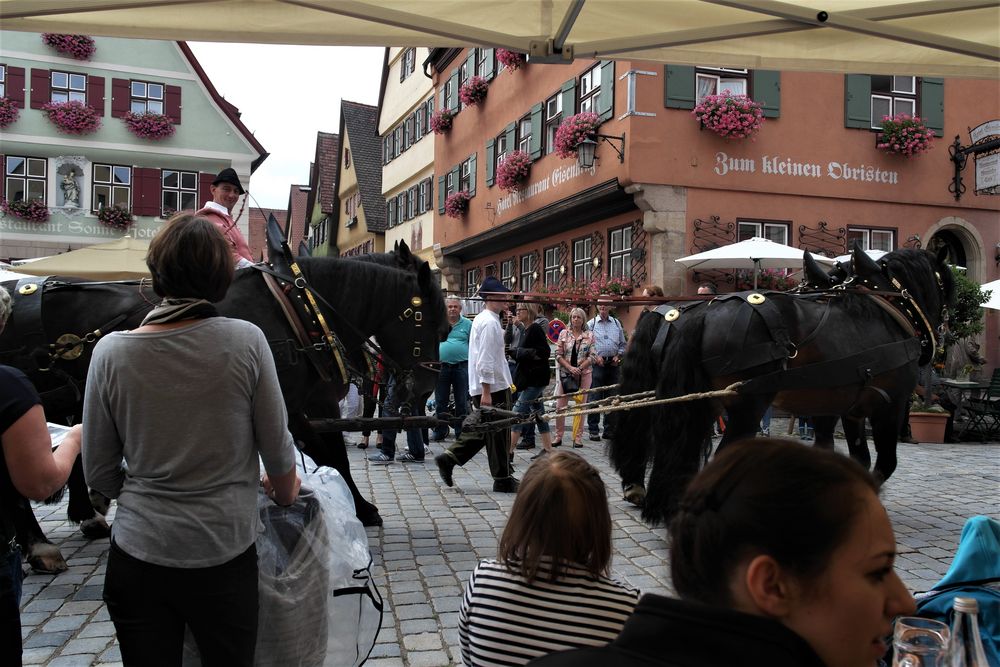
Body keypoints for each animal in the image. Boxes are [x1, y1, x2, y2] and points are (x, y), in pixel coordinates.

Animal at [0, 258, 446, 572]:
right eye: (433, 324)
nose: (426, 387)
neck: (297, 312)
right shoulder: (286, 402)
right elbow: (329, 454)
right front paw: (355, 507)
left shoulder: (298, 403)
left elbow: (329, 453)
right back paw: (40, 543)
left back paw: (81, 518)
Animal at [608, 248, 952, 524]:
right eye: (946, 280)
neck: (887, 310)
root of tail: (701, 313)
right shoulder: (890, 405)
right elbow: (884, 463)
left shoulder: (848, 408)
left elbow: (853, 456)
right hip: (746, 406)